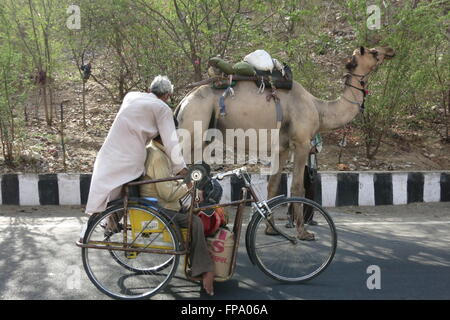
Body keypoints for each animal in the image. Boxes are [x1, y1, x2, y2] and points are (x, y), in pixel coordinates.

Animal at [176, 46, 394, 239]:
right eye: (374, 51)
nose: (390, 50)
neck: (319, 109)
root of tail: (184, 100)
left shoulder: (281, 148)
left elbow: (273, 185)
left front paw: (270, 228)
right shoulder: (302, 143)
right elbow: (298, 187)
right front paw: (303, 232)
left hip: (203, 136)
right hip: (193, 123)